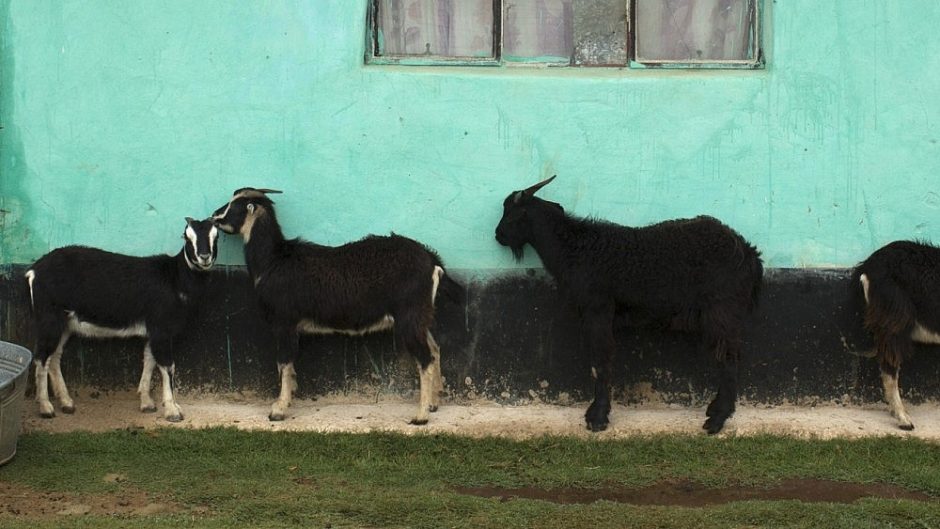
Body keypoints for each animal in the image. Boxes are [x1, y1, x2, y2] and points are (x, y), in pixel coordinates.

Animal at [25, 216, 218, 420]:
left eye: (216, 236)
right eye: (187, 237)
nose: (204, 256)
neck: (175, 279)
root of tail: (34, 271)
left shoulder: (153, 330)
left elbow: (149, 360)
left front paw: (147, 403)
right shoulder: (161, 329)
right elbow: (167, 366)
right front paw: (172, 410)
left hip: (65, 323)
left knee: (54, 356)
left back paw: (66, 403)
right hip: (49, 318)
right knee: (41, 357)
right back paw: (45, 407)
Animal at [212, 188, 462, 422]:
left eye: (234, 207)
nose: (214, 216)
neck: (273, 260)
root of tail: (431, 260)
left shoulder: (284, 321)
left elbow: (283, 362)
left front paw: (278, 410)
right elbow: (288, 367)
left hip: (409, 316)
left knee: (425, 359)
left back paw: (421, 416)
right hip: (420, 316)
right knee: (435, 350)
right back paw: (433, 403)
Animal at [492, 176, 764, 434]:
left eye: (510, 212)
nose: (498, 235)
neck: (574, 249)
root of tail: (748, 252)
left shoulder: (598, 310)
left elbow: (600, 361)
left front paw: (597, 417)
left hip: (722, 311)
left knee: (729, 359)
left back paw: (717, 420)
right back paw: (715, 410)